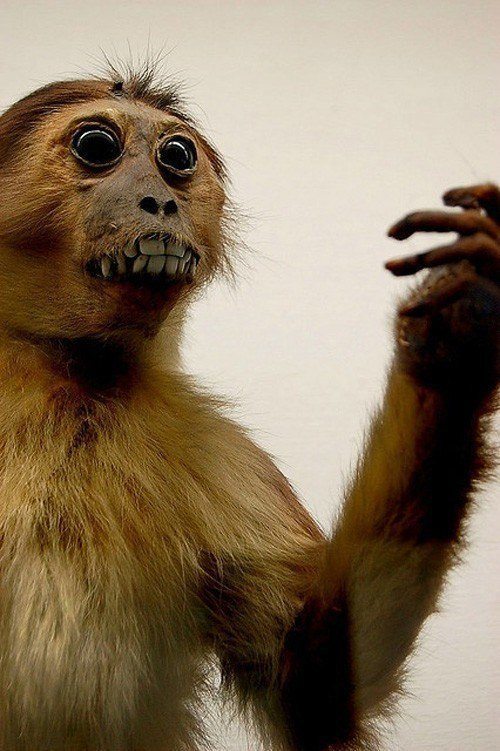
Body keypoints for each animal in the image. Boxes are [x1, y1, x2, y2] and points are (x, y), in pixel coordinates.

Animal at [0, 65, 496, 751]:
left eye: (176, 157)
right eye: (96, 146)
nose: (161, 202)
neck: (72, 377)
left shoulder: (220, 451)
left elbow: (312, 685)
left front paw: (457, 332)